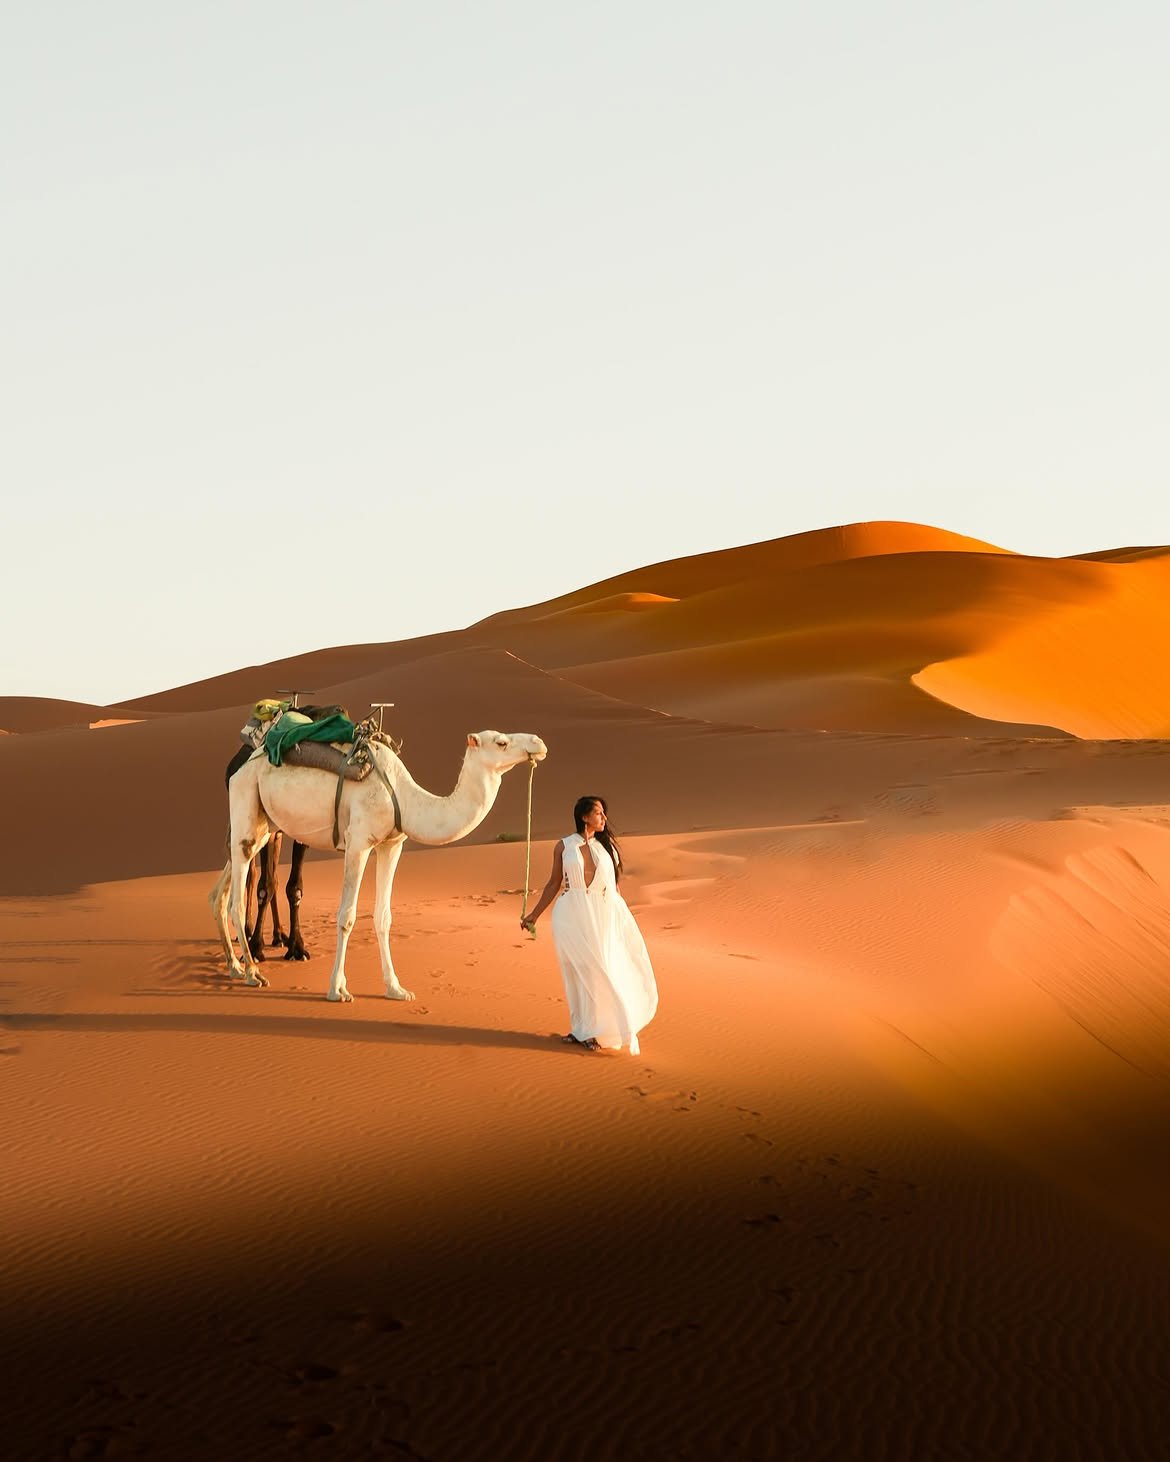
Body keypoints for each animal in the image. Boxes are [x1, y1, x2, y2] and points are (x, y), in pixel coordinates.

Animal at [212, 729, 547, 1002]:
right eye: (501, 742)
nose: (539, 742)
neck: (405, 797)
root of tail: (243, 764)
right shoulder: (358, 841)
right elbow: (346, 916)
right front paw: (337, 989)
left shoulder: (392, 844)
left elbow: (384, 917)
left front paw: (396, 988)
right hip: (245, 798)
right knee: (238, 896)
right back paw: (252, 972)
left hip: (265, 824)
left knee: (224, 888)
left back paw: (235, 966)